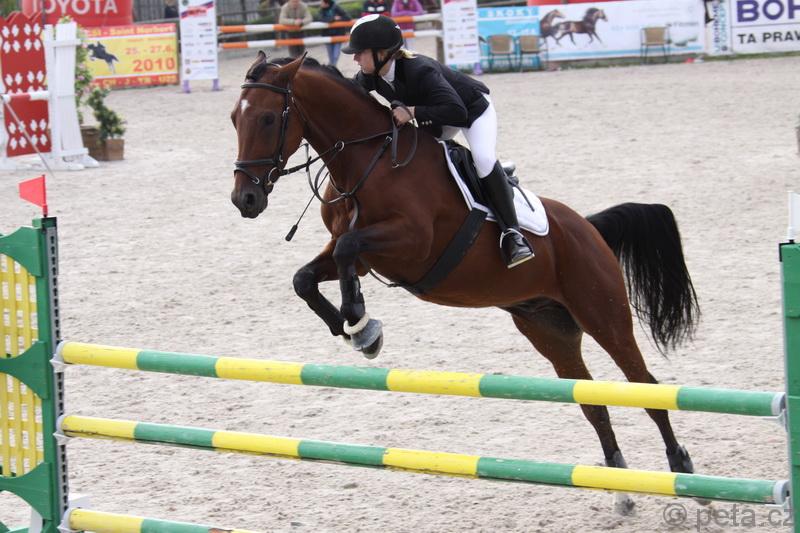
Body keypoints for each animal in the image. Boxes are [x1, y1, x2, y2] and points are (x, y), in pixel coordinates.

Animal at [230, 53, 699, 513]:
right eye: (235, 118)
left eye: (269, 119)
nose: (244, 200)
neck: (369, 161)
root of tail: (589, 228)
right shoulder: (361, 258)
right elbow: (305, 277)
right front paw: (353, 329)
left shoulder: (411, 243)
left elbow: (347, 249)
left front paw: (361, 325)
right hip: (549, 330)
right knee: (593, 402)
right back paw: (621, 489)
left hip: (603, 314)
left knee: (645, 387)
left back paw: (683, 471)